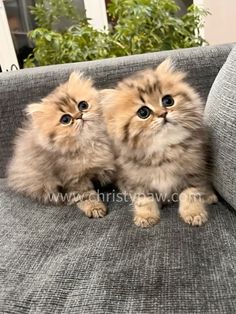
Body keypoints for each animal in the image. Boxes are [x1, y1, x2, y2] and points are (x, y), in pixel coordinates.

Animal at [8, 72, 116, 218]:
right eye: (65, 119)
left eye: (83, 105)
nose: (79, 116)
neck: (91, 142)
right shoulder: (74, 179)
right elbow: (86, 195)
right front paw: (95, 208)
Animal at [102, 59, 217, 227]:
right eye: (143, 112)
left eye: (168, 100)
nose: (163, 114)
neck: (164, 152)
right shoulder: (135, 180)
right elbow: (144, 199)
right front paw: (146, 216)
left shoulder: (195, 170)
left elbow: (191, 193)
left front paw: (194, 213)